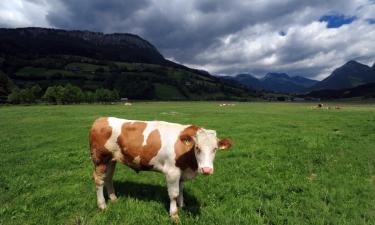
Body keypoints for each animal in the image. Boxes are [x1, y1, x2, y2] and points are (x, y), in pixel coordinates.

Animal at [90, 118, 234, 221]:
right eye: (197, 148)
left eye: (215, 149)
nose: (206, 170)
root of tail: (101, 119)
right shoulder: (172, 172)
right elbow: (174, 194)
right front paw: (174, 215)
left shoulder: (182, 172)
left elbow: (181, 189)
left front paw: (182, 205)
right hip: (100, 159)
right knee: (99, 181)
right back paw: (102, 205)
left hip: (111, 160)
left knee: (109, 178)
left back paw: (114, 199)